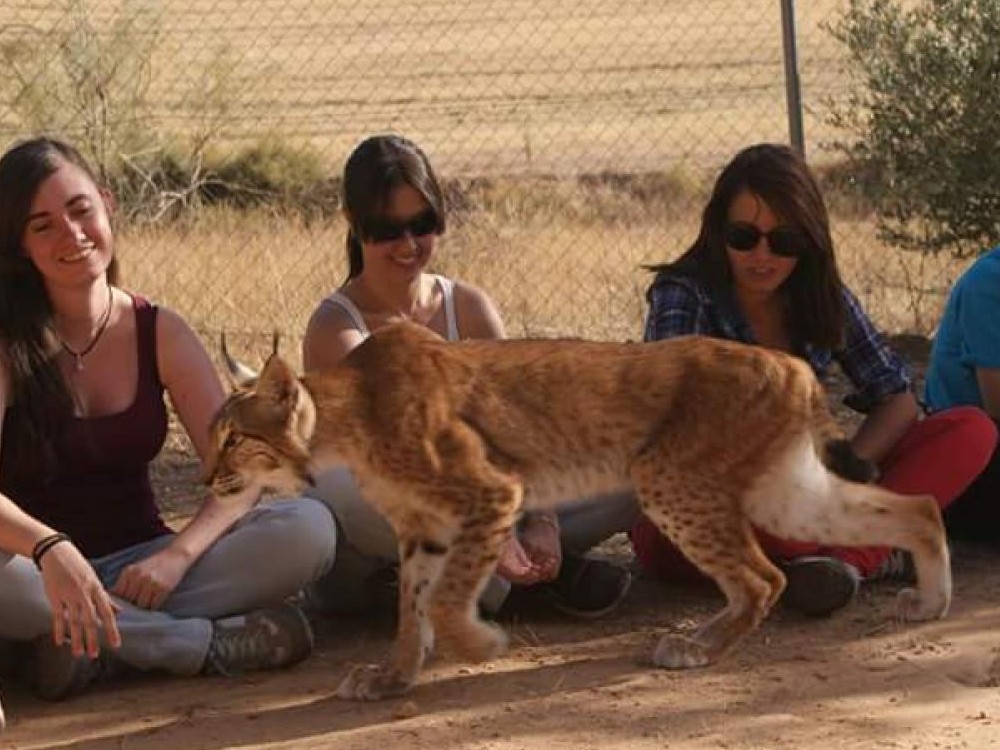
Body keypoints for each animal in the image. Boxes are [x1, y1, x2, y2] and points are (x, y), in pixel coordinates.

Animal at [204, 321, 951, 701]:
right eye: (215, 437)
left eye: (234, 438)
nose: (210, 480)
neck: (343, 423)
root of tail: (791, 361)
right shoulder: (422, 527)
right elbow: (411, 604)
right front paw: (393, 677)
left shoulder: (491, 493)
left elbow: (443, 599)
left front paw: (482, 645)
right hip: (782, 491)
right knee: (918, 504)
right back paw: (928, 603)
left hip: (667, 476)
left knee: (765, 576)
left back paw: (698, 649)